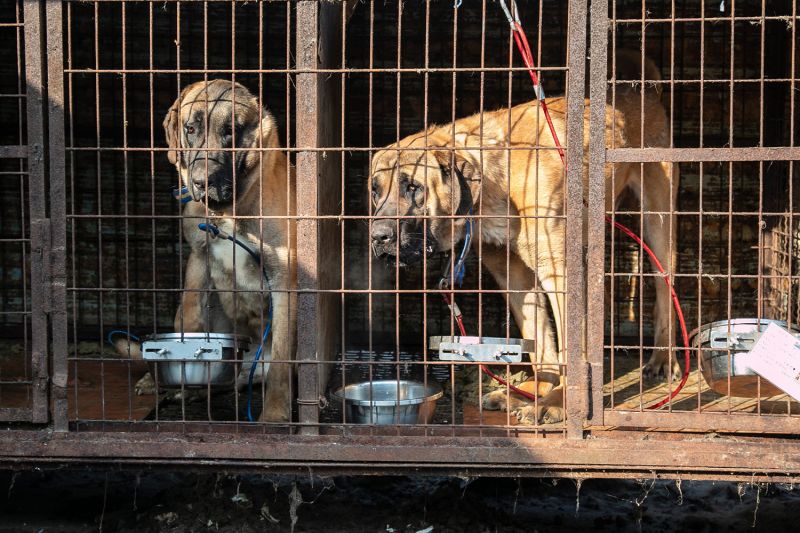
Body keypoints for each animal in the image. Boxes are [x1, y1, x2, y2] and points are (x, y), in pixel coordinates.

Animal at [114, 79, 296, 422]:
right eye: (190, 128)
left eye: (231, 131)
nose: (202, 182)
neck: (227, 211)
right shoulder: (199, 261)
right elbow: (189, 320)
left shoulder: (283, 282)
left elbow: (282, 363)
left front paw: (275, 414)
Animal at [368, 51, 676, 424]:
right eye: (375, 190)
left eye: (412, 188)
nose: (378, 236)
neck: (495, 187)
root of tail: (643, 91)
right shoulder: (513, 275)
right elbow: (540, 340)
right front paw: (537, 390)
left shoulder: (560, 272)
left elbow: (571, 346)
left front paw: (560, 402)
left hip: (658, 221)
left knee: (665, 290)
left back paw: (662, 359)